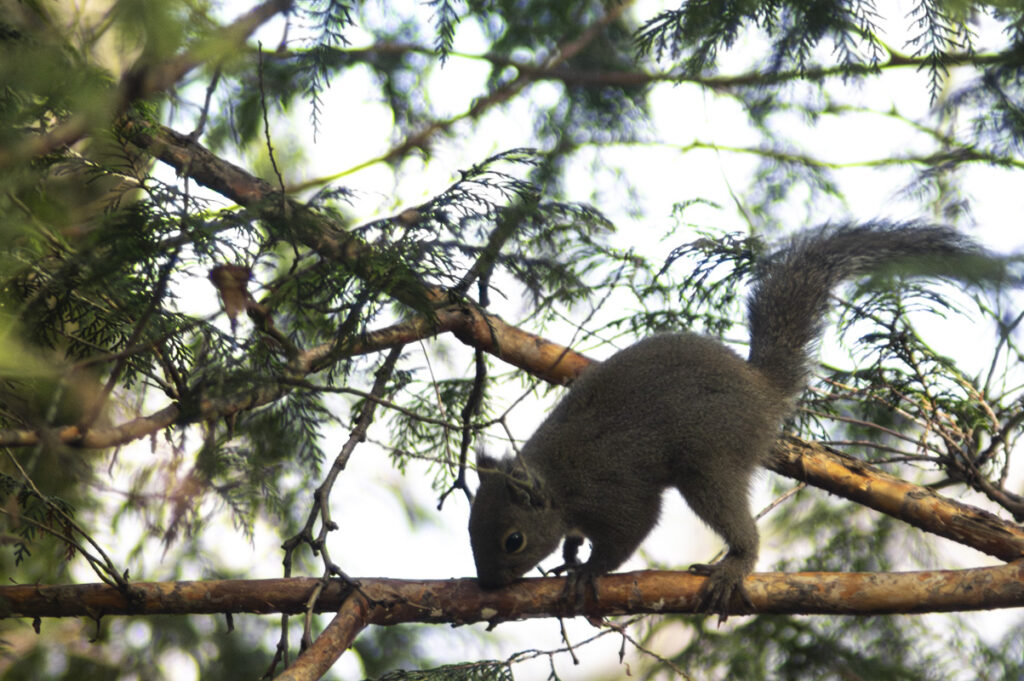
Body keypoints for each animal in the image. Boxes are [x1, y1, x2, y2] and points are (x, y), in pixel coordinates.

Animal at [468, 222, 999, 614]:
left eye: (513, 540)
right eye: (471, 529)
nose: (488, 586)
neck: (556, 483)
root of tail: (760, 389)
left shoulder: (613, 491)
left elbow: (629, 531)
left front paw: (587, 571)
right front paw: (572, 551)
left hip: (710, 461)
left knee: (734, 519)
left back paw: (735, 564)